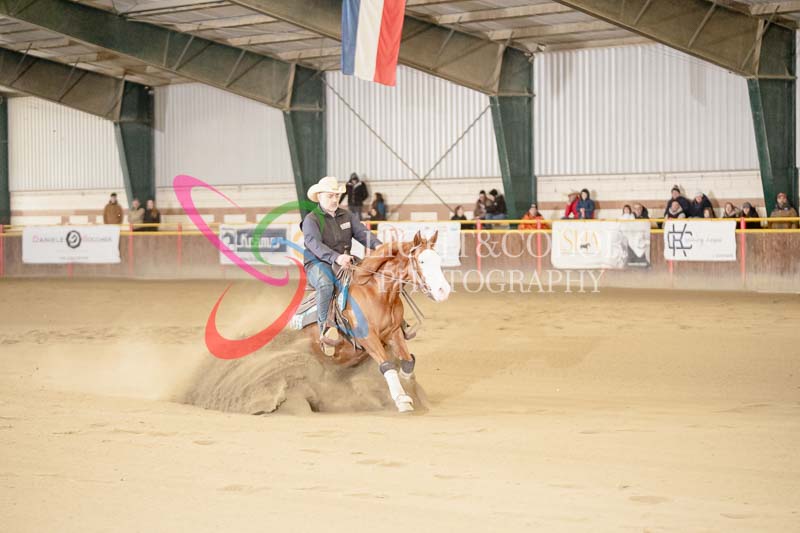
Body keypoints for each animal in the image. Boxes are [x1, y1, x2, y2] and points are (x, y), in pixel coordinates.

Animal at [302, 230, 451, 412]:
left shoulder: (393, 333)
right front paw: (402, 399)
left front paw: (408, 386)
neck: (376, 292)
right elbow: (387, 365)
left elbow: (408, 361)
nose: (443, 291)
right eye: (421, 261)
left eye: (438, 260)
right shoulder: (368, 338)